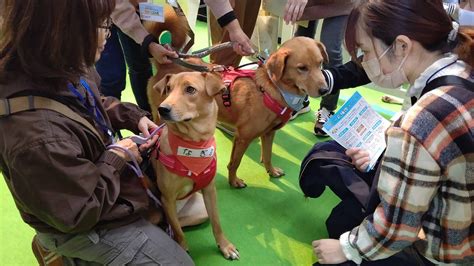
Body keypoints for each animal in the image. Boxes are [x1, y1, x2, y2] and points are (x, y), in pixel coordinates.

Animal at [149, 71, 239, 260]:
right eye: (168, 89)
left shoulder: (210, 191)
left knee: (176, 223)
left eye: (190, 89)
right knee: (173, 225)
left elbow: (216, 223)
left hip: (199, 211)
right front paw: (183, 248)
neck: (194, 143)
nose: (162, 109)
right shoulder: (167, 198)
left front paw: (225, 246)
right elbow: (179, 232)